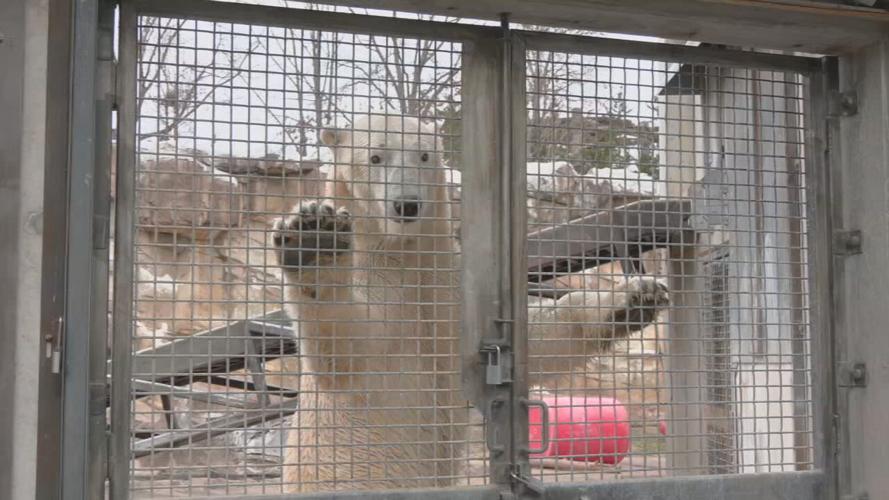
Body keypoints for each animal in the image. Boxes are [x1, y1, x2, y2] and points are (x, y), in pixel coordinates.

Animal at [272, 115, 669, 493]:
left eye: (424, 155)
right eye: (375, 157)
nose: (407, 204)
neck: (400, 254)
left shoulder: (450, 299)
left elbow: (536, 340)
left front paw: (636, 297)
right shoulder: (380, 293)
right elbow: (349, 345)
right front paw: (312, 241)